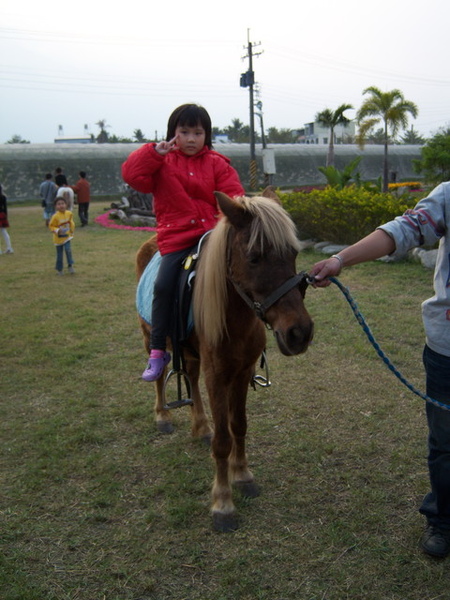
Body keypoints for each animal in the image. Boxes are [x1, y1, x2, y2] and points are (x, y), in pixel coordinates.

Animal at [135, 188, 314, 528]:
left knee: (191, 378)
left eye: (292, 254)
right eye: (255, 257)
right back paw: (162, 414)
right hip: (151, 335)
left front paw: (242, 475)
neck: (237, 318)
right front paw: (223, 502)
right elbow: (223, 440)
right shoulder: (217, 375)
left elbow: (238, 425)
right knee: (160, 372)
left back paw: (201, 426)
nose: (299, 333)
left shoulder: (242, 371)